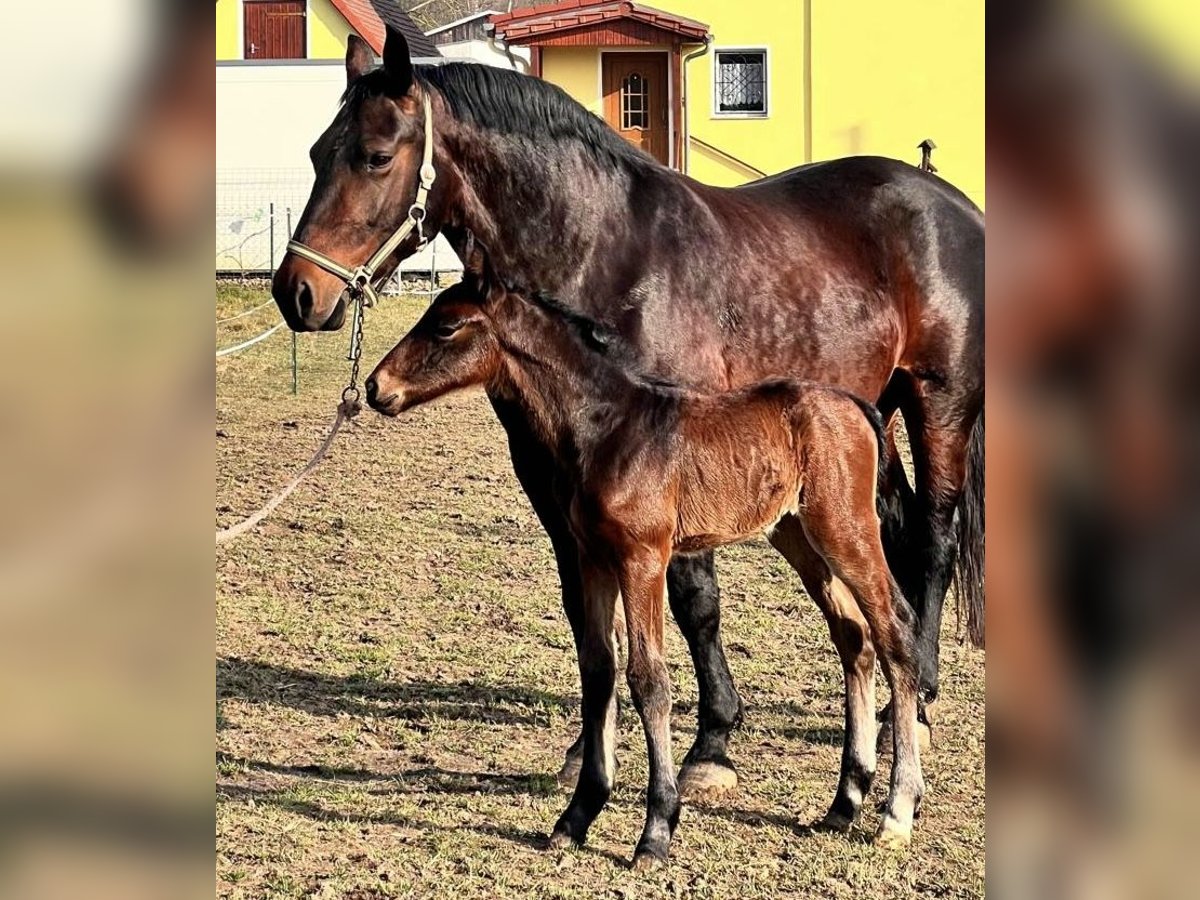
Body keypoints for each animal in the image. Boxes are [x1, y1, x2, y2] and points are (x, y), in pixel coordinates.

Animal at [272, 26, 984, 794]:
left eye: (376, 156)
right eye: (315, 152)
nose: (297, 292)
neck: (607, 256)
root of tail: (956, 205)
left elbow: (694, 600)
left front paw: (711, 746)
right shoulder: (552, 480)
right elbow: (589, 621)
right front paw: (588, 750)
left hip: (938, 407)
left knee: (934, 543)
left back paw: (912, 714)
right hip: (867, 421)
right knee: (898, 532)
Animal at [366, 279, 925, 865]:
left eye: (446, 325)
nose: (376, 386)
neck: (609, 428)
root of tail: (858, 407)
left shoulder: (644, 558)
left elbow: (648, 679)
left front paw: (656, 830)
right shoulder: (592, 558)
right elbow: (598, 671)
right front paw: (577, 815)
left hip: (845, 531)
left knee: (894, 631)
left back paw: (896, 811)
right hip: (797, 536)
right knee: (853, 638)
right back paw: (843, 804)